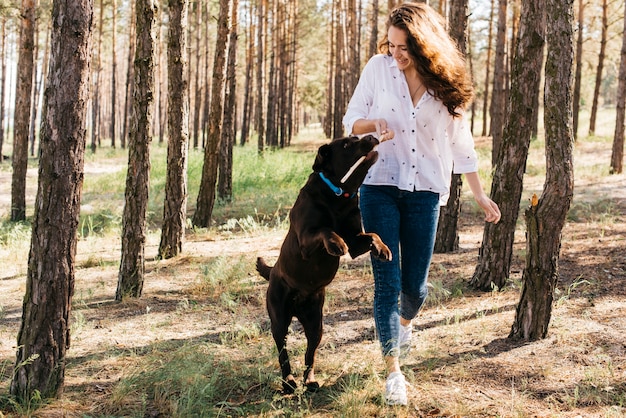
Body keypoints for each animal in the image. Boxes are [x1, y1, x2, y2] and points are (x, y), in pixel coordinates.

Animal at [256, 136, 388, 394]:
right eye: (347, 144)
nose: (371, 137)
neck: (337, 195)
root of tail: (272, 271)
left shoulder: (356, 240)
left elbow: (373, 234)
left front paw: (383, 248)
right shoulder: (307, 238)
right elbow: (325, 230)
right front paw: (336, 244)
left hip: (316, 323)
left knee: (310, 354)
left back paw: (310, 380)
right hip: (278, 319)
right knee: (283, 353)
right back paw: (289, 382)